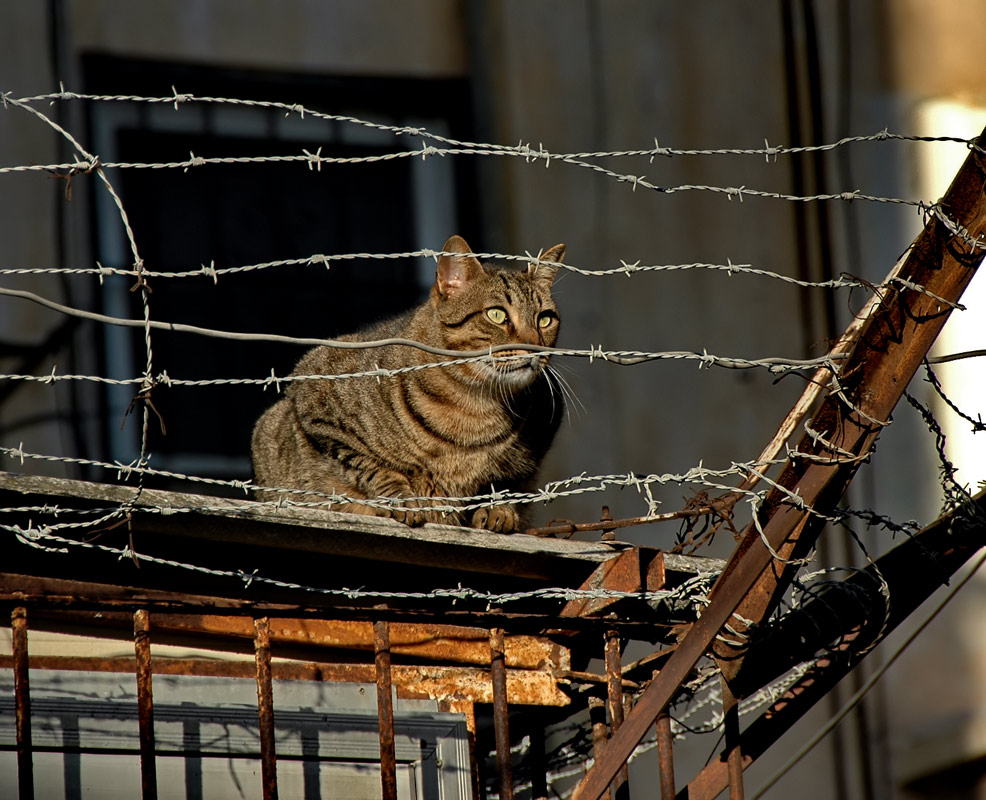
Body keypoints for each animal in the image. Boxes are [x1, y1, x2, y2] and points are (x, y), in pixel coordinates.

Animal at [250, 234, 564, 536]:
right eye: (496, 315)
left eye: (545, 319)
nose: (535, 348)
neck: (474, 402)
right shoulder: (318, 408)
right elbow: (374, 466)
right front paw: (403, 498)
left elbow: (506, 482)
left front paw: (499, 508)